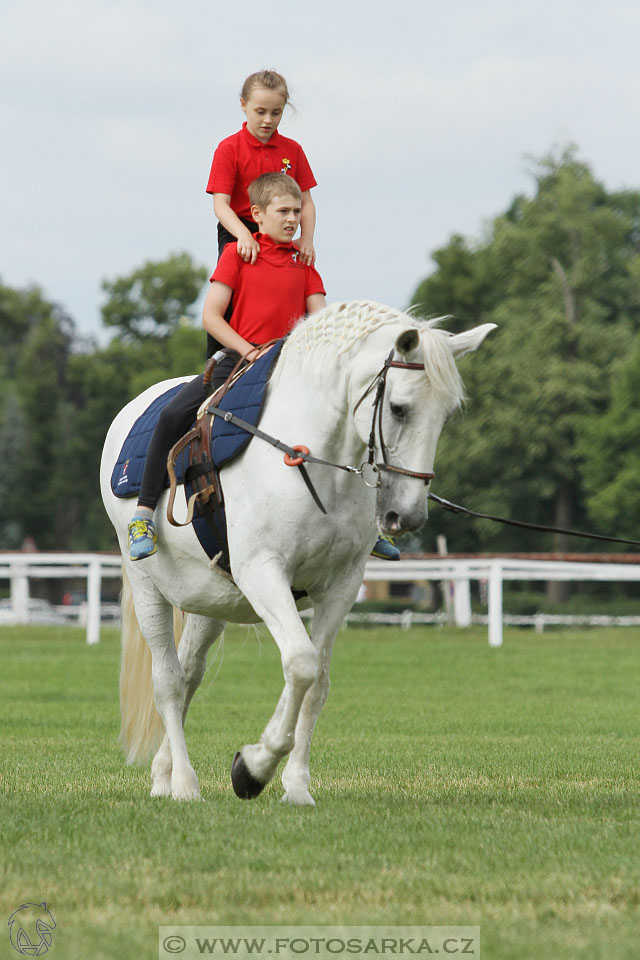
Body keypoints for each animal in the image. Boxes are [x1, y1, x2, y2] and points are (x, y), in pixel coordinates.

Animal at [100, 298, 496, 804]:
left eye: (446, 414)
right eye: (399, 408)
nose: (406, 517)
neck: (314, 459)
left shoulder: (341, 584)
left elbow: (318, 679)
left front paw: (295, 786)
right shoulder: (263, 572)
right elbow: (302, 664)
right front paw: (252, 769)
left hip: (210, 600)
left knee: (189, 673)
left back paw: (163, 774)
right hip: (149, 587)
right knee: (168, 682)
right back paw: (186, 784)